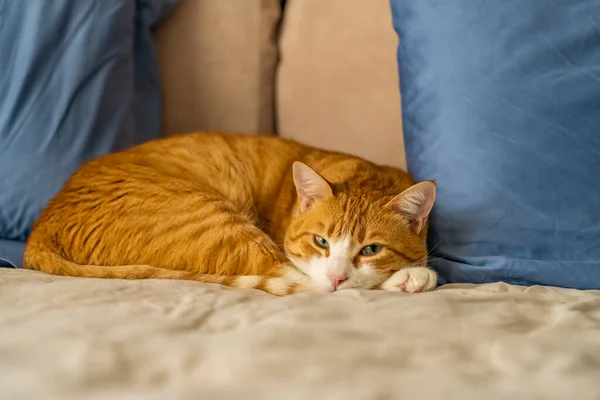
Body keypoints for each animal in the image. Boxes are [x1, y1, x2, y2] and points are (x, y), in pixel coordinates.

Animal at [23, 133, 438, 296]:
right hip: (217, 221)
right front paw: (412, 275)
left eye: (371, 250)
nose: (337, 277)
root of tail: (41, 228)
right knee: (293, 279)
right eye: (321, 241)